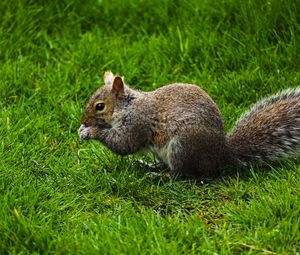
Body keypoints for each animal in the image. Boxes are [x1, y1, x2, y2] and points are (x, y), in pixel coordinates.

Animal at [78, 70, 300, 177]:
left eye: (99, 106)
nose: (83, 121)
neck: (127, 106)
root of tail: (221, 155)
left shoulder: (137, 123)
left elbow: (124, 144)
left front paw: (90, 131)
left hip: (182, 147)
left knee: (184, 174)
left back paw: (161, 176)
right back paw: (149, 165)